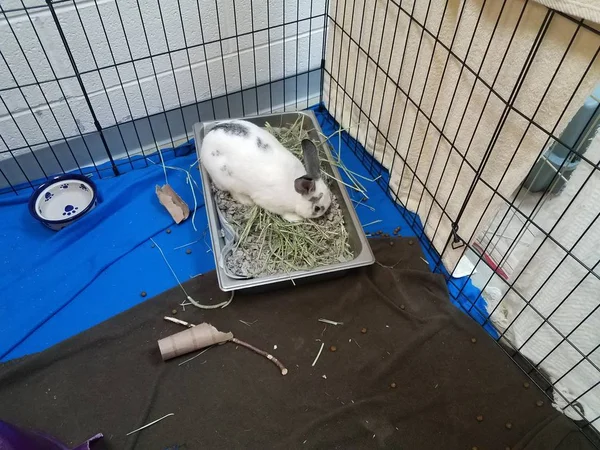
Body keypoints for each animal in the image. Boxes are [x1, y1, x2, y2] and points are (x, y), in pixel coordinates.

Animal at [200, 118, 332, 222]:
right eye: (317, 208)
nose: (325, 213)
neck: (295, 194)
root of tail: (206, 138)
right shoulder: (272, 204)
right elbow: (285, 213)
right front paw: (296, 218)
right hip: (226, 180)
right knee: (234, 193)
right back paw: (247, 201)